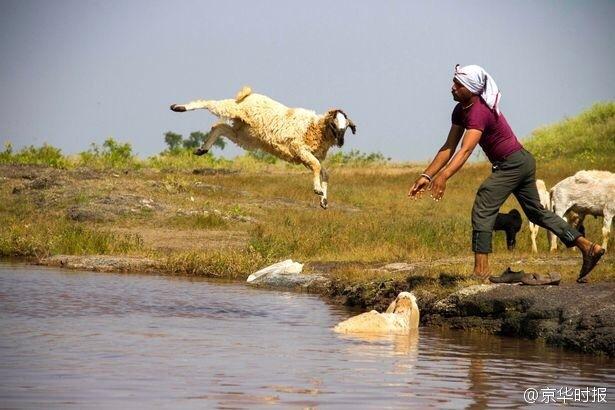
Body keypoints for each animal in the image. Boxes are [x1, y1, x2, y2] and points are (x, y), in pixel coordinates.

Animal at [172, 86, 356, 208]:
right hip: (234, 110)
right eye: (333, 124)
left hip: (245, 134)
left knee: (219, 127)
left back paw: (202, 149)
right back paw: (177, 107)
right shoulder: (300, 149)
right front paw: (318, 191)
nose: (341, 142)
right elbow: (318, 167)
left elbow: (325, 173)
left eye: (346, 126)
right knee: (210, 104)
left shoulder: (307, 156)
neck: (315, 127)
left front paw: (324, 200)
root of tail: (249, 95)